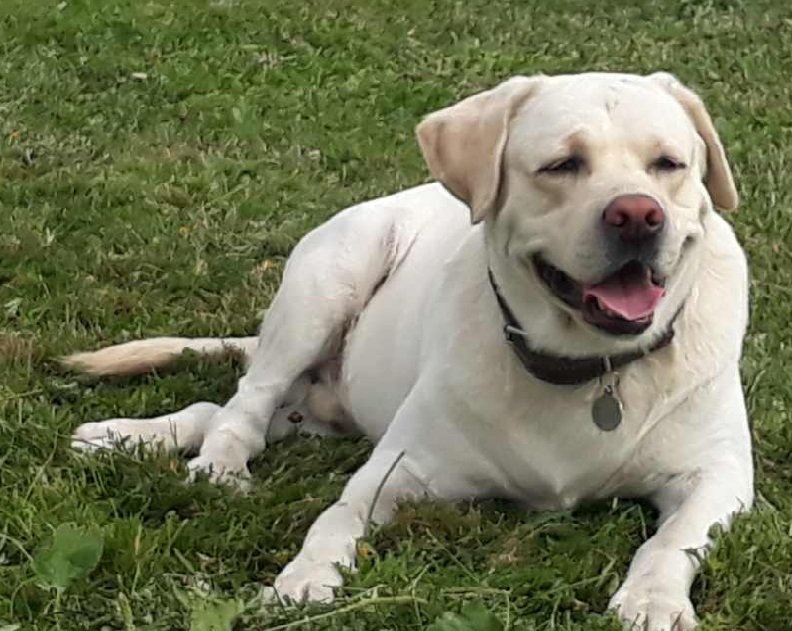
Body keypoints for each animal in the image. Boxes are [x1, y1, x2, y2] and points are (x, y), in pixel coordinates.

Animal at [67, 71, 753, 630]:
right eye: (562, 165)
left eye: (669, 164)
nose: (639, 215)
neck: (585, 369)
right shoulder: (400, 467)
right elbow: (336, 517)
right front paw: (302, 581)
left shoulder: (721, 478)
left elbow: (670, 542)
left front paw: (652, 601)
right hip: (327, 279)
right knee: (243, 406)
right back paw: (201, 459)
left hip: (322, 402)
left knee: (231, 411)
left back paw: (124, 436)